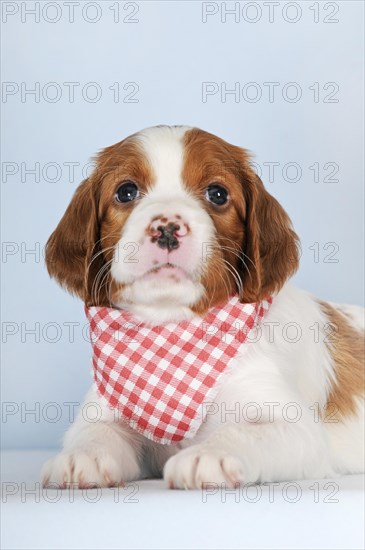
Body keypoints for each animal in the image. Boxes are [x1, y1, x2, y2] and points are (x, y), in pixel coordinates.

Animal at [41, 126, 362, 492]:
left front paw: (209, 454)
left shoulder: (297, 428)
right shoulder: (107, 408)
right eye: (125, 191)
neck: (172, 328)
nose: (167, 227)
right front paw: (82, 455)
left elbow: (246, 432)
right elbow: (95, 431)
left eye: (218, 194)